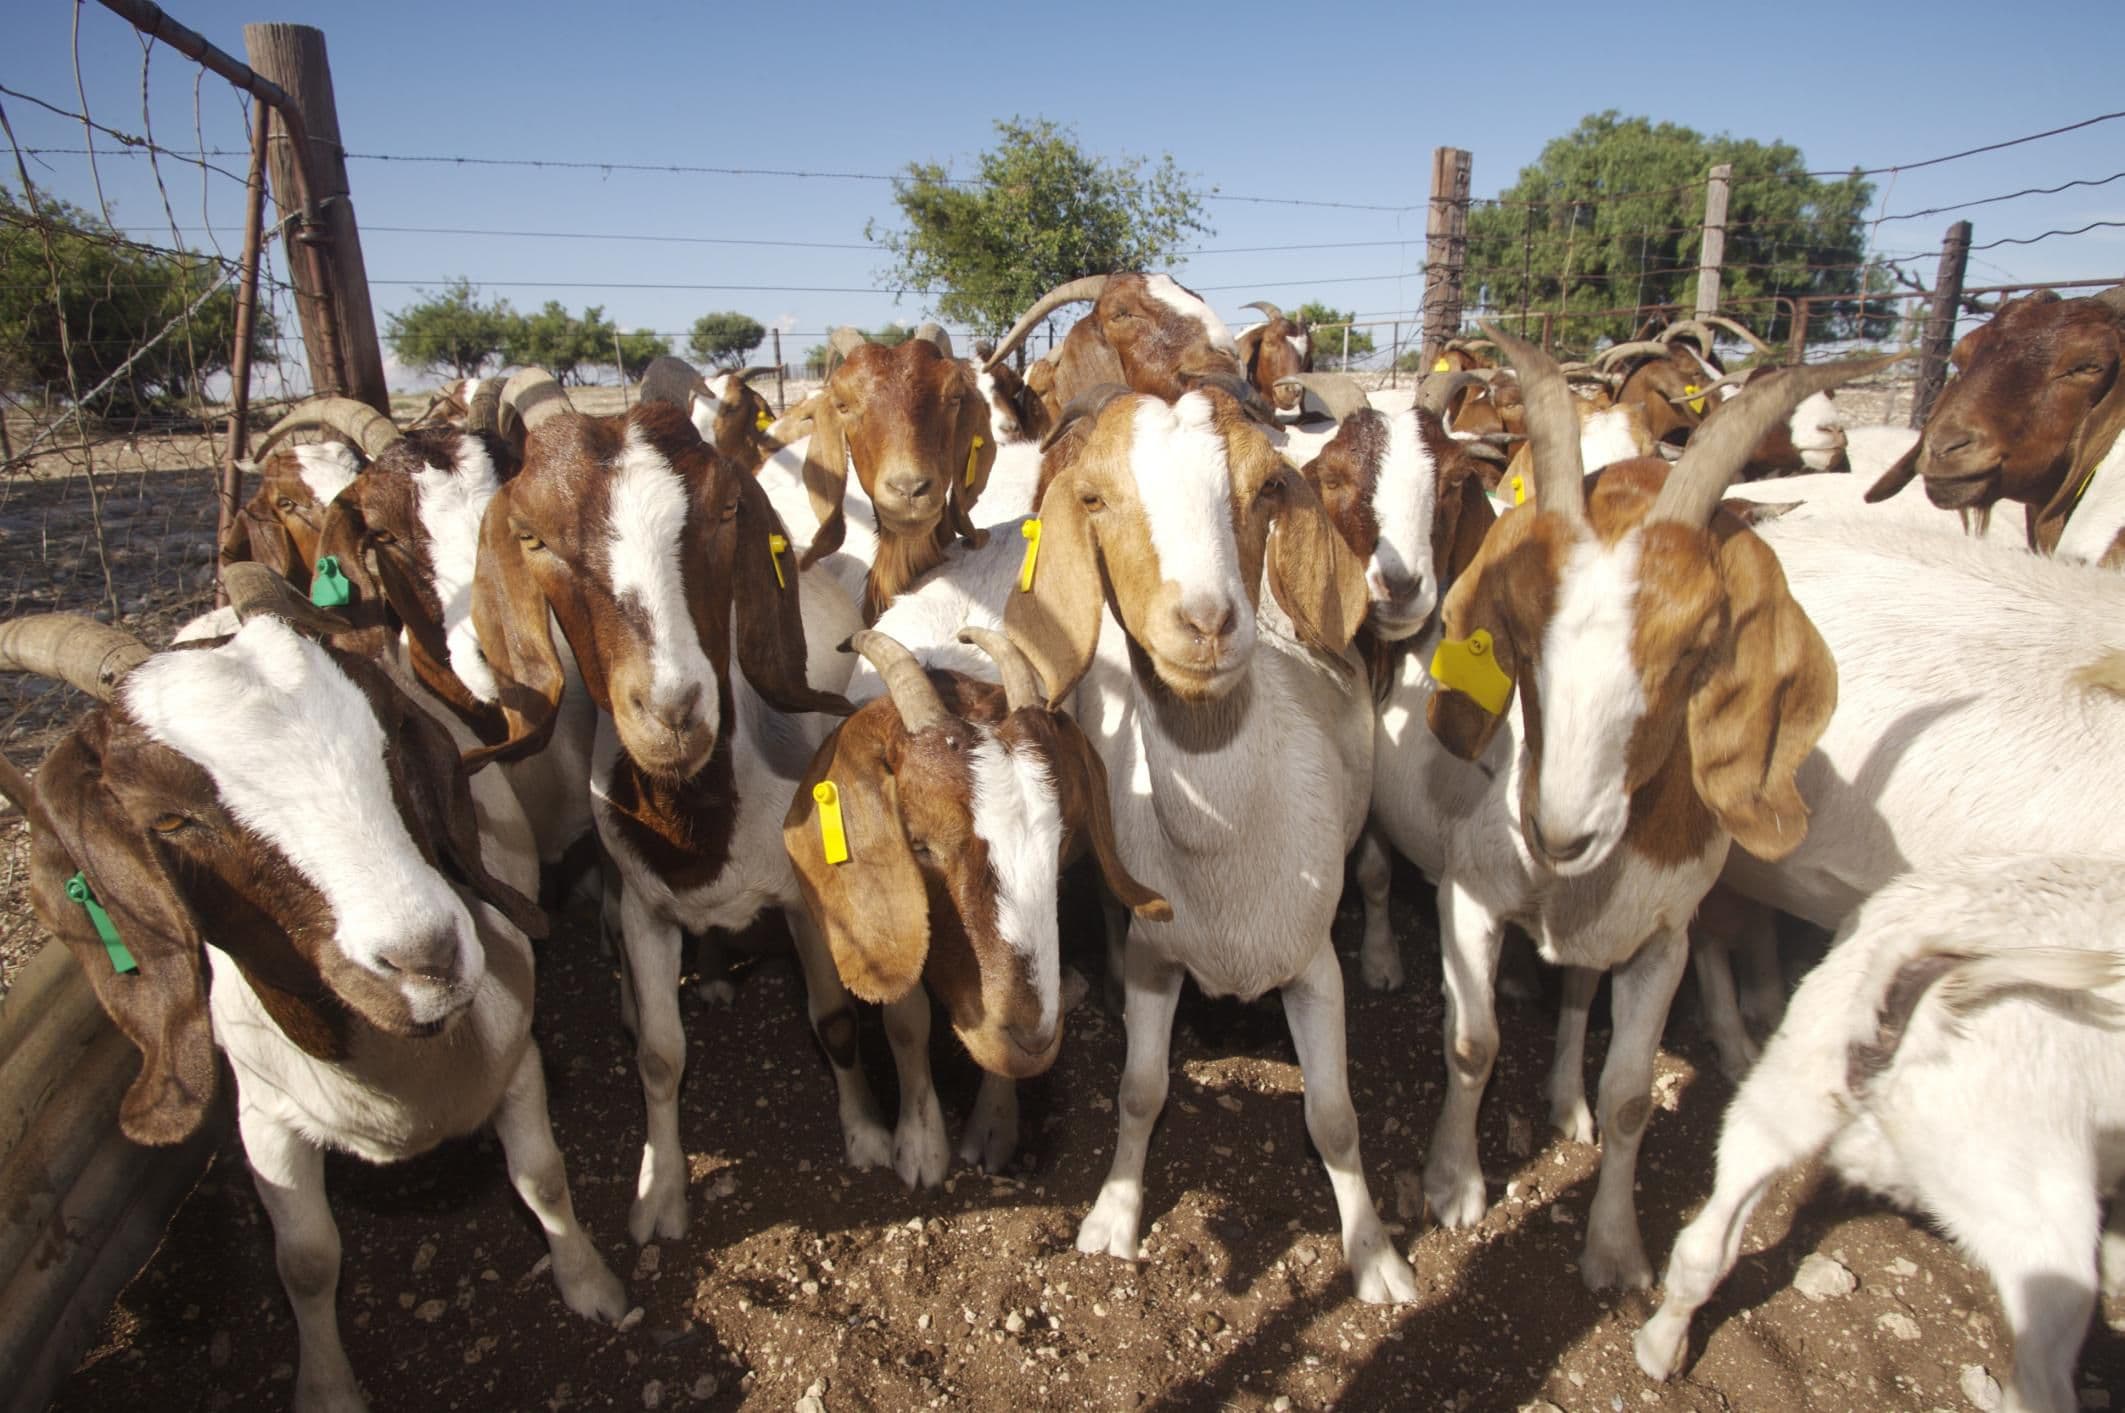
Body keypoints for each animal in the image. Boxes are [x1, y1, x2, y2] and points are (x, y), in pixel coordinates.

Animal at [0, 611, 624, 1412]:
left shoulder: (518, 1058)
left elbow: (541, 1177)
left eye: (390, 739)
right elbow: (305, 1259)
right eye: (169, 820)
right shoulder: (265, 1118)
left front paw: (592, 1287)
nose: (428, 959)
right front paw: (326, 1387)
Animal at [783, 626, 1167, 1177]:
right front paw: (919, 1145)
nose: (1032, 1038)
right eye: (918, 844)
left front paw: (993, 1125)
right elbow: (904, 1022)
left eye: (1061, 841)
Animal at [1005, 384, 1416, 1303]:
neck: (1225, 849)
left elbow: (1333, 1117)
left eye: (1267, 486)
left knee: (1375, 873)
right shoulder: (1159, 959)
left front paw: (1374, 1254)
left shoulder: (1310, 964)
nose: (1206, 620)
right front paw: (1113, 1214)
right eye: (1094, 498)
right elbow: (1138, 1090)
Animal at [1386, 327, 1870, 1290]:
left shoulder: (1663, 938)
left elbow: (1633, 1096)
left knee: (1578, 987)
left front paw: (1614, 1248)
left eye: (1695, 647)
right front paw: (1453, 1184)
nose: (1557, 829)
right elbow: (1472, 1044)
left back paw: (1564, 1097)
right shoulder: (1469, 896)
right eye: (1516, 628)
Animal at [1636, 856, 2125, 1413]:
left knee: (1704, 1244)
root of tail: (1931, 998)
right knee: (2040, 1381)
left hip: (1788, 1088)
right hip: (2025, 1196)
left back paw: (1660, 1349)